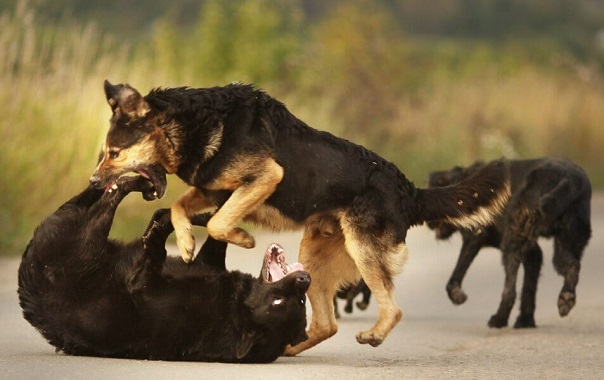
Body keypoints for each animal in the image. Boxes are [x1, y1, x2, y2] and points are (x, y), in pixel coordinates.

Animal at [17, 175, 312, 362]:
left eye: (279, 301)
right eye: (298, 301)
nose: (305, 279)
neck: (235, 306)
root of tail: (28, 296)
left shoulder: (141, 284)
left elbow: (154, 256)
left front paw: (158, 234)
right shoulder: (209, 262)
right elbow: (212, 232)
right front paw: (195, 217)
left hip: (84, 241)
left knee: (107, 201)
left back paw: (131, 183)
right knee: (90, 196)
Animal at [89, 80, 512, 354]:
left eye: (114, 153)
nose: (93, 182)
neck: (197, 124)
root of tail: (410, 191)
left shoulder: (265, 177)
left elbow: (217, 221)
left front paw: (241, 238)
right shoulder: (211, 190)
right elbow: (180, 208)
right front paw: (188, 243)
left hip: (362, 249)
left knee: (391, 306)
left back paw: (373, 336)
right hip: (315, 256)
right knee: (327, 323)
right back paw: (288, 349)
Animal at [428, 158, 592, 330]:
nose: (428, 224)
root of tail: (570, 178)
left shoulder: (473, 238)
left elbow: (455, 274)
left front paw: (457, 296)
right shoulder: (533, 254)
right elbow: (529, 287)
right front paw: (526, 321)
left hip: (512, 242)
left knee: (509, 291)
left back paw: (498, 320)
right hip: (566, 244)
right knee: (573, 266)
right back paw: (566, 299)